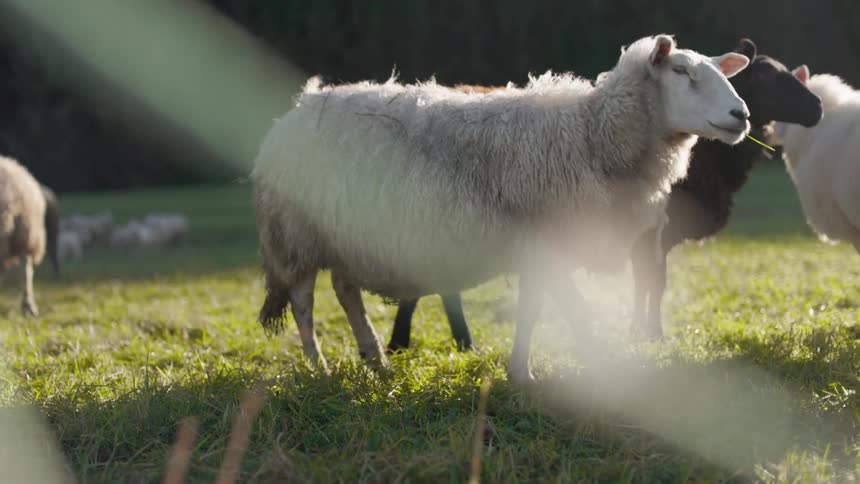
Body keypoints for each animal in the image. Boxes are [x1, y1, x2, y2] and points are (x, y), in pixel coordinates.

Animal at [252, 34, 751, 379]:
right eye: (681, 71)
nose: (741, 116)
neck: (594, 136)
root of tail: (296, 108)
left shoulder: (540, 248)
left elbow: (534, 309)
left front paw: (521, 372)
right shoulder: (543, 239)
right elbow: (574, 310)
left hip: (345, 233)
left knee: (345, 289)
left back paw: (375, 359)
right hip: (296, 232)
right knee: (303, 301)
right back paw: (319, 367)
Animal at [629, 39, 824, 339]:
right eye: (764, 76)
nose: (817, 106)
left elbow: (648, 280)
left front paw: (640, 330)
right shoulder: (657, 230)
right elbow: (653, 280)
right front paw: (652, 333)